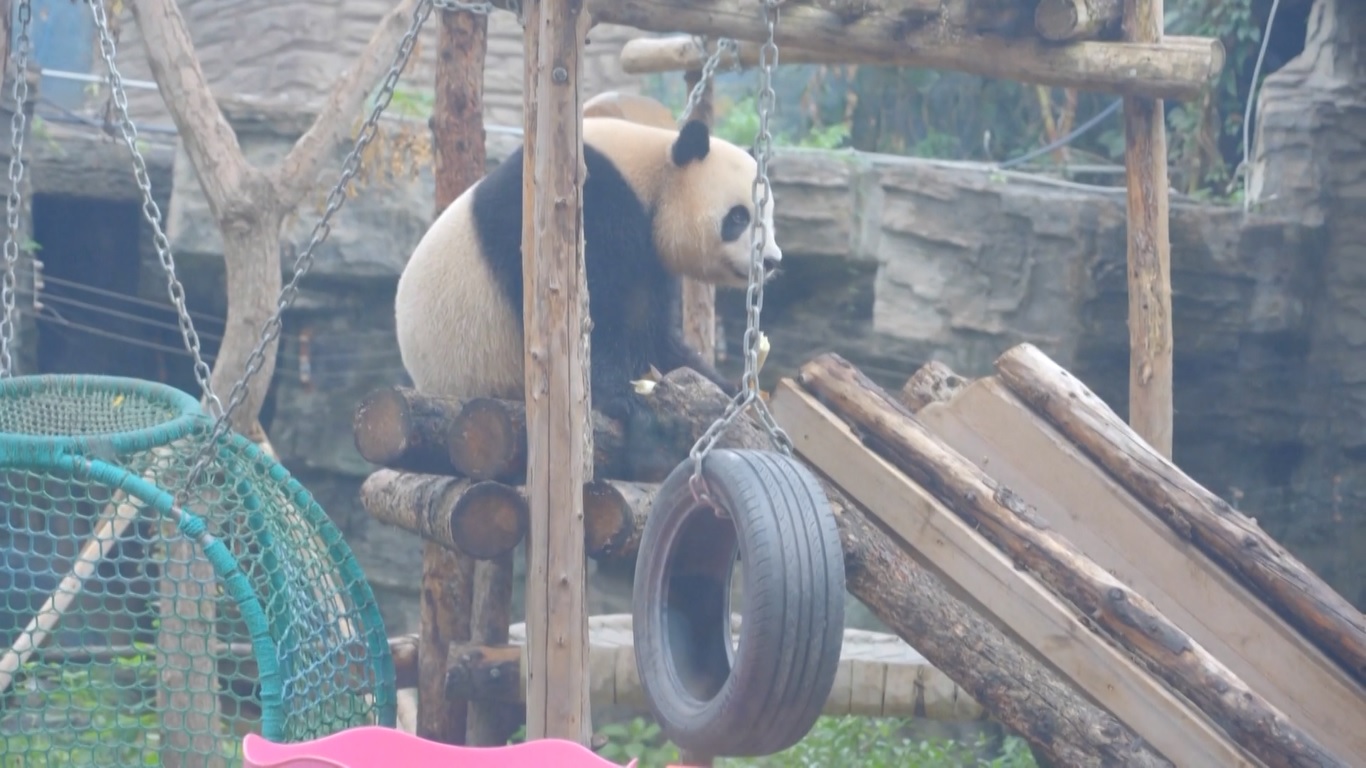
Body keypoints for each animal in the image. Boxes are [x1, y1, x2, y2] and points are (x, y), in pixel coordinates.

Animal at [393, 116, 782, 424]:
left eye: (769, 216)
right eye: (739, 217)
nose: (771, 261)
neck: (651, 169)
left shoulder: (650, 262)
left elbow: (651, 331)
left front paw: (728, 387)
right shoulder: (587, 203)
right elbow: (595, 317)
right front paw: (620, 398)